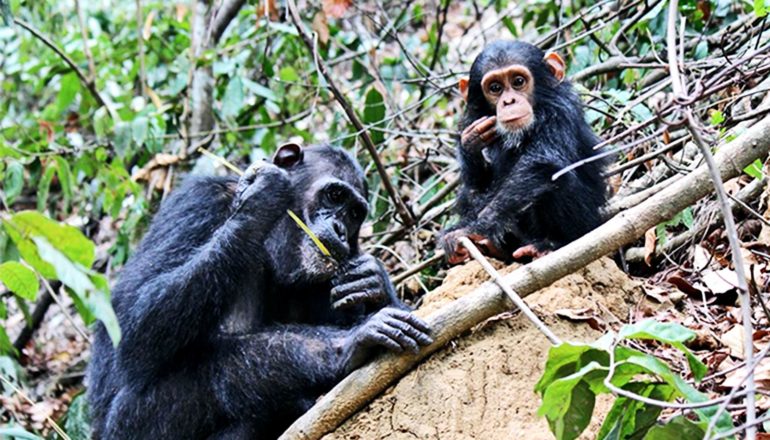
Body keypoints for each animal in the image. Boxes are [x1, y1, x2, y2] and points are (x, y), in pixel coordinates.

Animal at [87, 143, 432, 438]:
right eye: (334, 195)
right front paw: (261, 198)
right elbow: (132, 321)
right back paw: (346, 347)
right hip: (129, 426)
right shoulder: (196, 203)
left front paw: (374, 281)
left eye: (354, 214)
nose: (340, 229)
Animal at [438, 39, 608, 264]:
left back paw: (548, 246)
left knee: (555, 179)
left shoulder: (559, 111)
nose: (509, 101)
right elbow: (478, 185)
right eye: (495, 88)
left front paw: (472, 229)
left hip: (588, 224)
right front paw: (470, 142)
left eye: (518, 81)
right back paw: (493, 248)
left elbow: (541, 164)